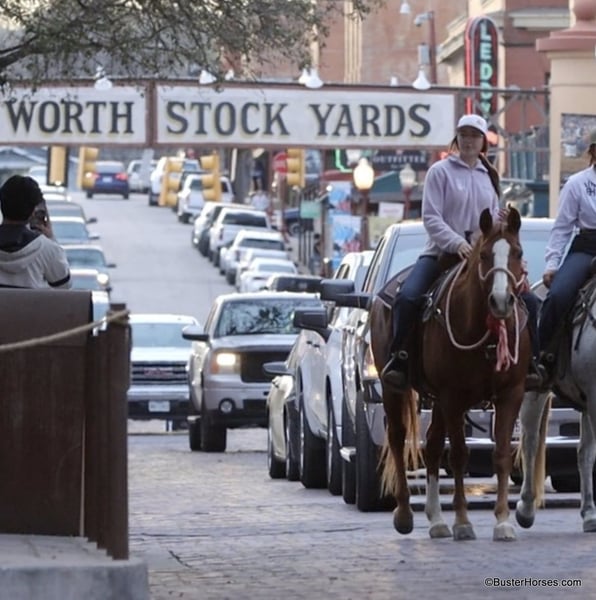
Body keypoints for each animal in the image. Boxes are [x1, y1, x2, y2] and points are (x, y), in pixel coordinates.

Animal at [371, 207, 533, 541]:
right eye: (483, 255)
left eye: (518, 252)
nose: (501, 301)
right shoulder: (453, 396)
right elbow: (458, 454)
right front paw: (462, 521)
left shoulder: (510, 394)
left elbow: (501, 454)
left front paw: (502, 521)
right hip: (394, 388)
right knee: (398, 439)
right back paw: (405, 514)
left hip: (436, 400)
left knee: (432, 446)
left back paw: (436, 519)